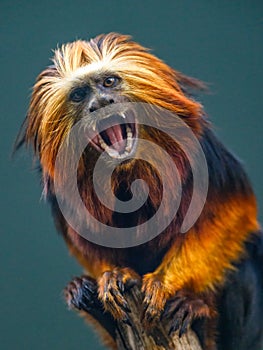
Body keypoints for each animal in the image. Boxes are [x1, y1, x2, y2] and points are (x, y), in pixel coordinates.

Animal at [16, 32, 263, 348]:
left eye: (109, 82)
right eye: (79, 95)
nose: (101, 102)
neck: (129, 174)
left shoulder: (208, 159)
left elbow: (230, 216)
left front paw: (164, 284)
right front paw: (112, 275)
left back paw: (196, 310)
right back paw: (84, 294)